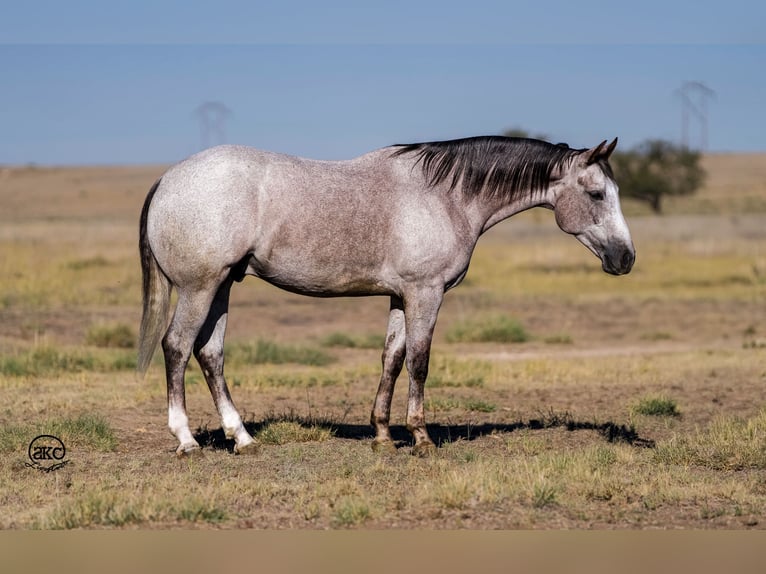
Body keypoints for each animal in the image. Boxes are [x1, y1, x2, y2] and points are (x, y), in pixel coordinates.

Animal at [138, 136, 636, 460]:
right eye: (596, 194)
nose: (626, 258)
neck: (446, 197)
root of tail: (167, 179)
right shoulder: (425, 292)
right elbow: (419, 360)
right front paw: (421, 438)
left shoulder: (400, 296)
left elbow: (391, 359)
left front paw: (382, 434)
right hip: (200, 288)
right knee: (177, 348)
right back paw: (187, 440)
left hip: (222, 286)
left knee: (210, 353)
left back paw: (241, 437)